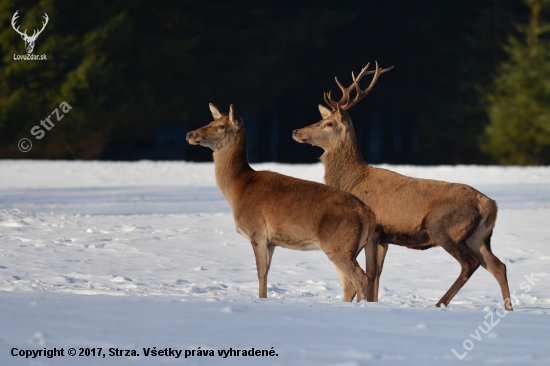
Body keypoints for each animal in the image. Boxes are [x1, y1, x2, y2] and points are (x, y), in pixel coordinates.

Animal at [188, 103, 382, 304]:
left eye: (220, 126)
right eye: (211, 121)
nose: (190, 134)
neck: (237, 189)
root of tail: (367, 213)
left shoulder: (257, 231)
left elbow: (260, 273)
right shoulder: (272, 242)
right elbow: (266, 273)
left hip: (339, 245)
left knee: (361, 279)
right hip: (349, 247)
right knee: (350, 284)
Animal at [296, 62, 516, 308]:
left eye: (328, 123)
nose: (297, 131)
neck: (353, 181)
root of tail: (491, 205)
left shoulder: (375, 231)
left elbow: (370, 273)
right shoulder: (384, 238)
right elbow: (377, 275)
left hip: (444, 227)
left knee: (470, 264)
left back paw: (440, 303)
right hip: (479, 237)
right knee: (498, 266)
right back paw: (509, 308)